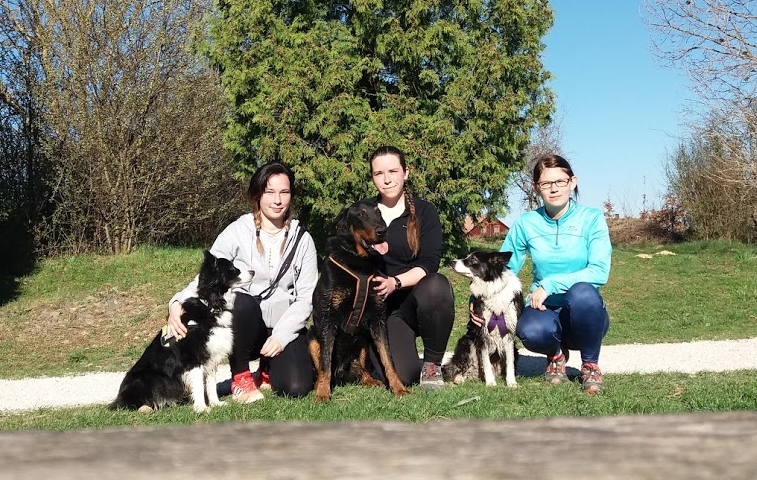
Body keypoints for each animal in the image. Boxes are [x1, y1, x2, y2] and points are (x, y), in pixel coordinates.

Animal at [308, 199, 410, 402]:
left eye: (379, 212)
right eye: (361, 215)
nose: (382, 230)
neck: (359, 262)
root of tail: (341, 373)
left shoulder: (378, 320)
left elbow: (388, 358)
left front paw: (398, 388)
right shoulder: (327, 319)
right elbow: (325, 361)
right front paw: (322, 393)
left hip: (363, 340)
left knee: (362, 370)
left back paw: (370, 380)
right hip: (312, 337)